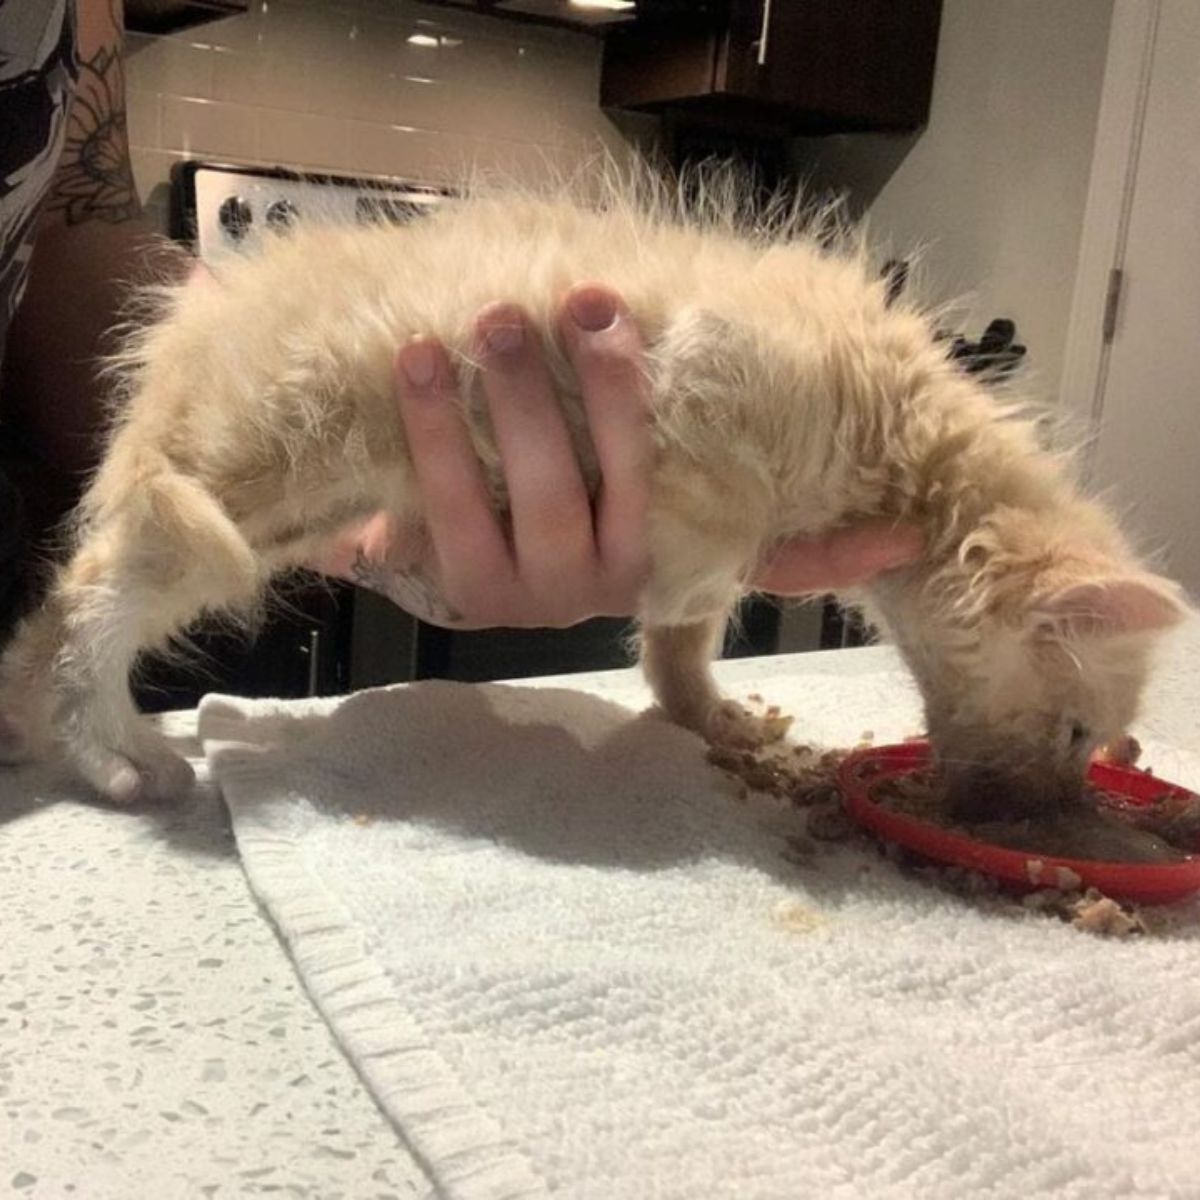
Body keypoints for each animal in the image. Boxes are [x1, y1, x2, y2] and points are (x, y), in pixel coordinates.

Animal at [0, 171, 1185, 816]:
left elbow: (685, 639)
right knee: (88, 605)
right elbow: (700, 580)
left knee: (58, 609)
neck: (913, 445)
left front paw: (703, 713)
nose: (1040, 818)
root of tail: (182, 339)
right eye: (1077, 731)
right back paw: (108, 753)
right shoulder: (712, 412)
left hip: (289, 496)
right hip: (247, 479)